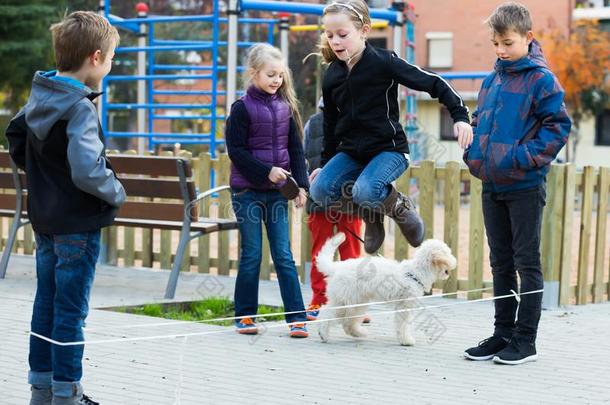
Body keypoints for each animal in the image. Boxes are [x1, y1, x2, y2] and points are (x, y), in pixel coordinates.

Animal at [316, 232, 454, 346]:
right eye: (448, 253)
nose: (454, 261)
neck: (416, 272)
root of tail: (336, 267)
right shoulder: (405, 306)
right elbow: (404, 324)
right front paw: (407, 341)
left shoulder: (402, 306)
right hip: (346, 302)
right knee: (327, 313)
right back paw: (323, 334)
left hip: (357, 302)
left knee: (348, 322)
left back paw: (359, 333)